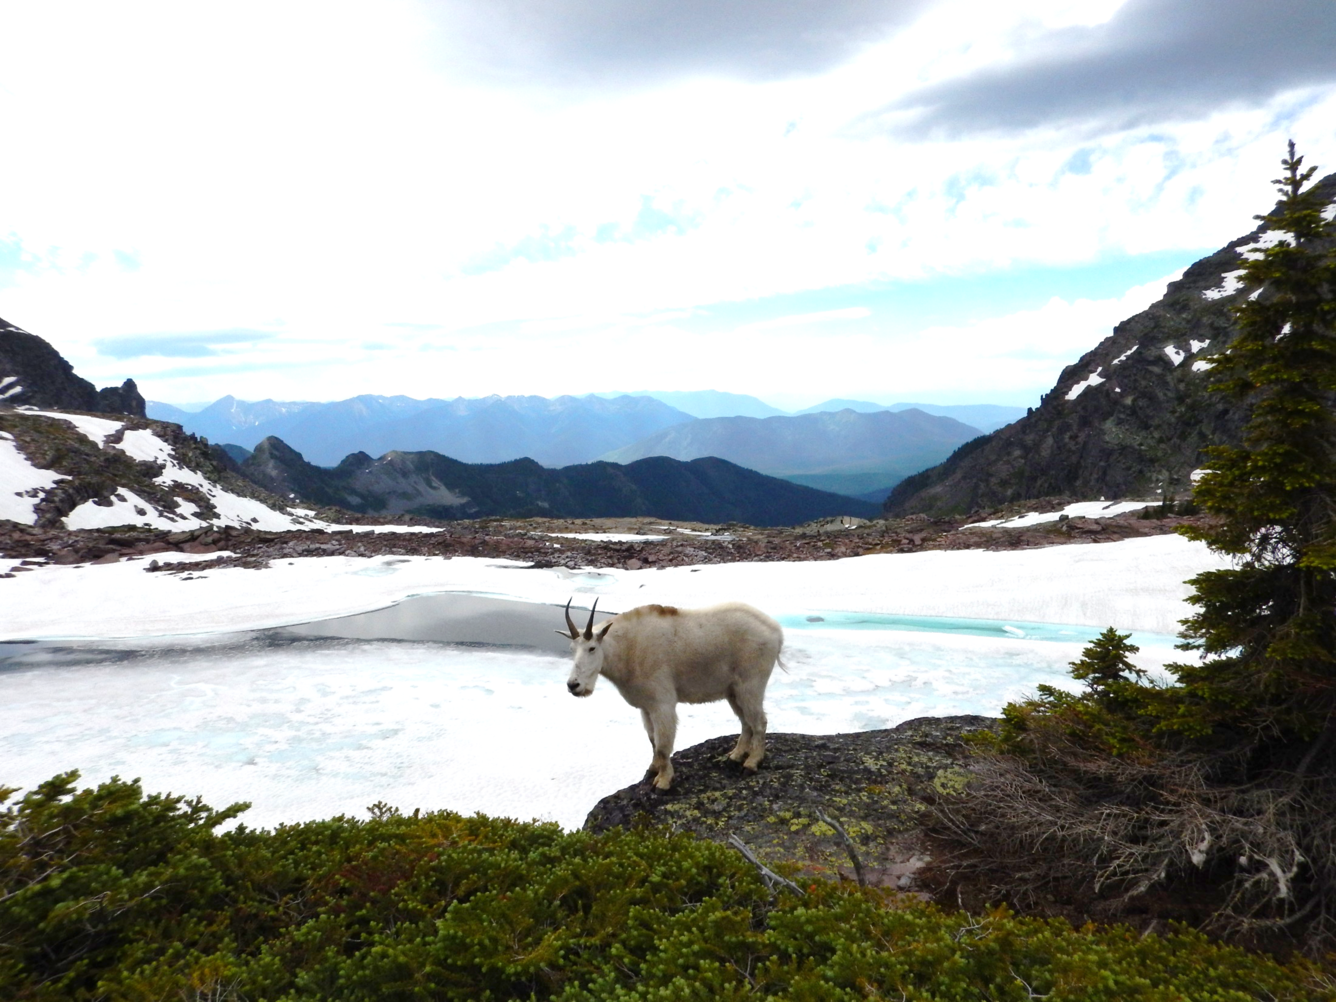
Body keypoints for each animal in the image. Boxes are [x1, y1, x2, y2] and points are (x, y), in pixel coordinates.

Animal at [559, 598, 783, 790]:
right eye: (571, 648)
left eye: (592, 648)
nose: (573, 685)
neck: (628, 649)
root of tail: (776, 631)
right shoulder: (646, 706)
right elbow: (652, 740)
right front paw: (652, 770)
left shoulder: (662, 703)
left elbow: (663, 744)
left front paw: (663, 782)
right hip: (733, 691)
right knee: (746, 722)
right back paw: (735, 756)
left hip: (750, 685)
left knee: (759, 722)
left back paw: (751, 764)